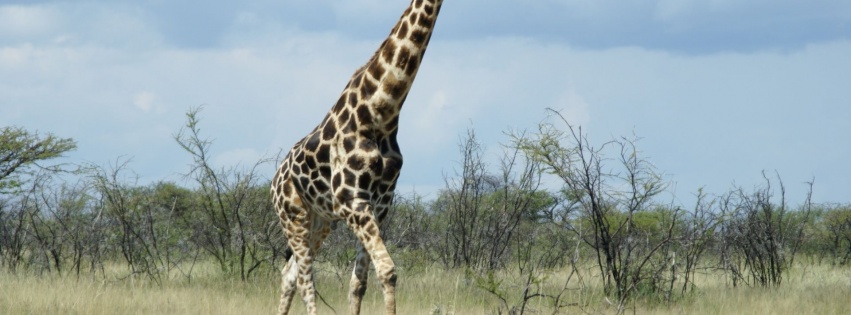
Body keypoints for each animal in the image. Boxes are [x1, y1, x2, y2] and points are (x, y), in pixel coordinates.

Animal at [272, 0, 446, 315]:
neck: (381, 113)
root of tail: (273, 182)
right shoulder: (353, 200)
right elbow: (388, 270)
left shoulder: (379, 206)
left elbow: (360, 282)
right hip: (293, 216)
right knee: (305, 280)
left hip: (321, 220)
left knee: (289, 274)